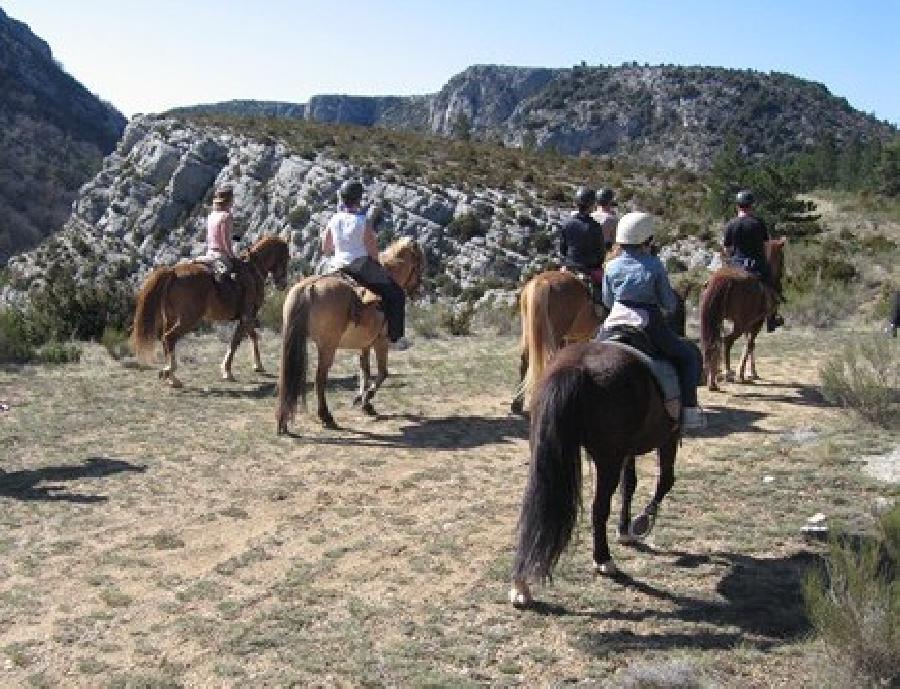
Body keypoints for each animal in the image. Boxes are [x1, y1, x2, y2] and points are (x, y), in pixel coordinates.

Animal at [131, 235, 288, 388]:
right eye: (286, 256)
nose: (283, 284)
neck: (253, 271)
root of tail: (173, 272)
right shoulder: (248, 315)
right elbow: (236, 341)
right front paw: (227, 371)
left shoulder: (246, 317)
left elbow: (252, 336)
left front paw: (258, 366)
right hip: (188, 319)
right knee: (169, 338)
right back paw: (172, 376)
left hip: (170, 317)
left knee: (165, 340)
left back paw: (168, 375)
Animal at [276, 236, 424, 430]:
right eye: (420, 262)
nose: (419, 290)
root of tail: (309, 288)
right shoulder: (381, 342)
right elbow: (383, 373)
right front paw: (366, 398)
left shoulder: (365, 345)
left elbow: (365, 371)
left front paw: (364, 402)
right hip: (328, 347)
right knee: (319, 379)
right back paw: (326, 416)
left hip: (293, 341)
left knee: (286, 377)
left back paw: (283, 421)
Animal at [510, 342, 680, 604]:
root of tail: (575, 367)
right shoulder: (669, 436)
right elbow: (665, 480)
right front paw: (642, 521)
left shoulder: (628, 452)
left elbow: (629, 485)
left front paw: (625, 529)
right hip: (607, 459)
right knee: (599, 507)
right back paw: (603, 559)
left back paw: (521, 585)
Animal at [700, 238, 784, 390]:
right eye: (782, 259)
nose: (780, 280)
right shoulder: (757, 322)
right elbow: (750, 344)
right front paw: (743, 373)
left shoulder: (749, 324)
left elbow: (749, 344)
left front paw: (750, 372)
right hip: (739, 324)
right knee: (727, 341)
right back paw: (727, 373)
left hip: (717, 321)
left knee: (713, 344)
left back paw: (712, 381)